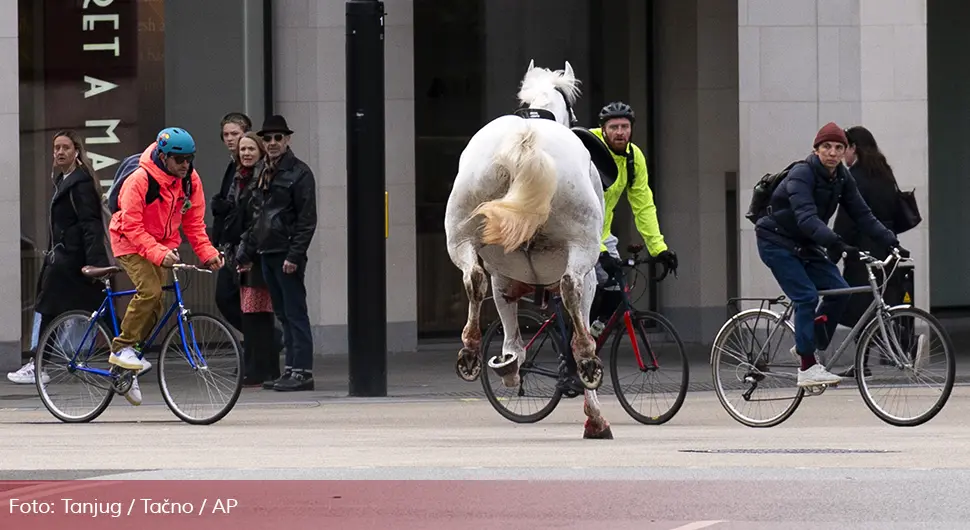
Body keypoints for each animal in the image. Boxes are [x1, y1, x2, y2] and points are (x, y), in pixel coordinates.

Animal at [442, 58, 608, 438]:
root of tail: (526, 139)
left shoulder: (504, 276)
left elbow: (508, 323)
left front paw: (508, 363)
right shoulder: (590, 277)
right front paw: (595, 417)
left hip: (461, 233)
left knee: (474, 279)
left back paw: (472, 351)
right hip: (581, 247)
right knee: (571, 287)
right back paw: (586, 361)